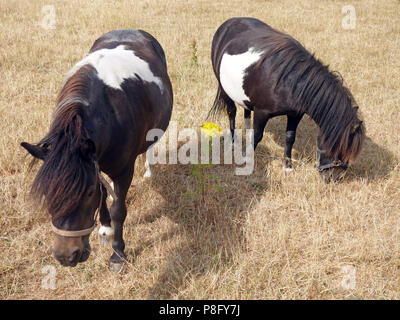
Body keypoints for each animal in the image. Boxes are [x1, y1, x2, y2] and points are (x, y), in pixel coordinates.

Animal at [209, 17, 366, 181]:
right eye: (337, 147)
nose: (333, 178)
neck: (289, 81)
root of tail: (229, 22)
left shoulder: (295, 114)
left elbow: (290, 138)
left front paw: (288, 167)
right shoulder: (261, 112)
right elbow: (258, 136)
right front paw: (247, 162)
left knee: (246, 110)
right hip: (224, 89)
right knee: (232, 112)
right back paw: (234, 142)